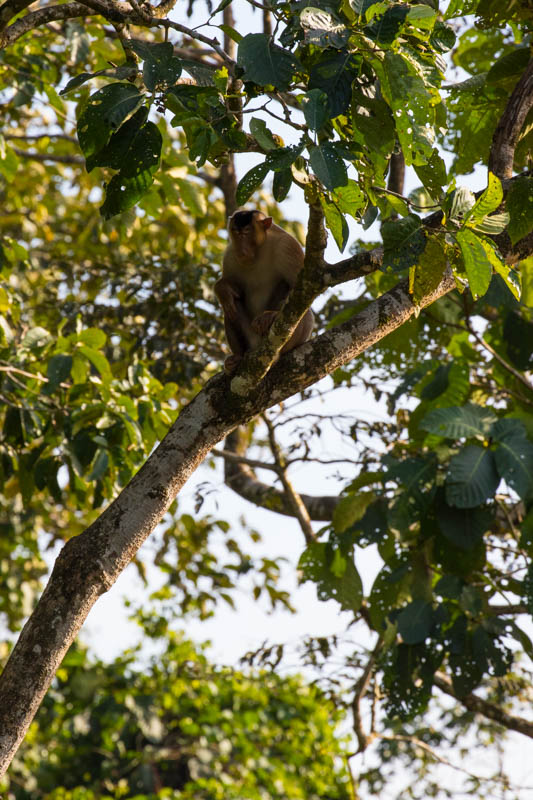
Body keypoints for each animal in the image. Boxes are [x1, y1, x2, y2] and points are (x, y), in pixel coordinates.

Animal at [214, 208, 314, 374]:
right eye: (235, 232)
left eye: (247, 232)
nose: (241, 251)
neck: (258, 250)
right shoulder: (229, 256)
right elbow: (233, 289)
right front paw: (222, 289)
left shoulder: (287, 246)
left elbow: (301, 289)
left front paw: (270, 315)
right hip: (251, 337)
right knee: (229, 308)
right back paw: (238, 357)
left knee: (303, 312)